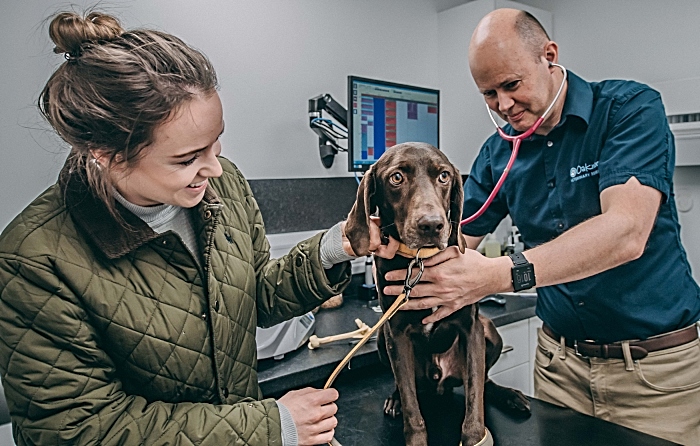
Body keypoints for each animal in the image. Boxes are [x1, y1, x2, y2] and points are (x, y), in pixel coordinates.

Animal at [344, 143, 532, 446]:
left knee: (483, 383)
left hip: (490, 331)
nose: (431, 225)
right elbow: (412, 408)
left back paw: (510, 396)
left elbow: (474, 401)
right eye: (396, 178)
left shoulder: (471, 327)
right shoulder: (396, 333)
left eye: (444, 176)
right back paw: (395, 400)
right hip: (383, 339)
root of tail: (440, 382)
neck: (420, 261)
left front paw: (475, 437)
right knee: (406, 386)